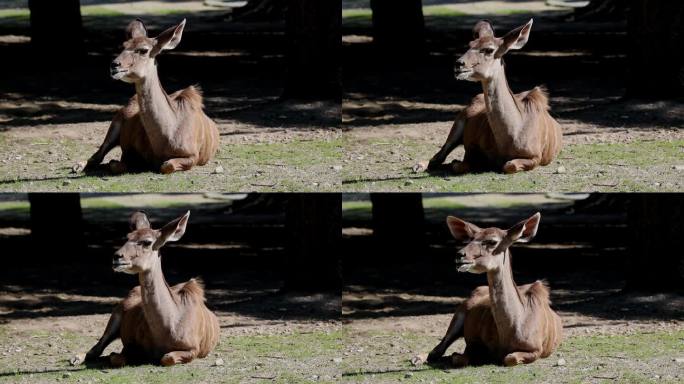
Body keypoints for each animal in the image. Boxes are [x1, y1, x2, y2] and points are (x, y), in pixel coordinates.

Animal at [80, 18, 219, 174]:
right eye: (123, 45)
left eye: (143, 50)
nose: (114, 65)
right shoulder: (129, 152)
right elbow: (115, 164)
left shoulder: (192, 156)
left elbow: (167, 165)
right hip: (114, 125)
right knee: (98, 155)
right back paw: (77, 166)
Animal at [83, 212, 219, 368]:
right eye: (128, 236)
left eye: (147, 242)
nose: (117, 257)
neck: (168, 328)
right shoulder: (131, 344)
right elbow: (117, 358)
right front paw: (113, 355)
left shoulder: (193, 349)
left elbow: (167, 358)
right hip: (115, 316)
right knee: (94, 350)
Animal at [428, 19, 560, 172]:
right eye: (470, 44)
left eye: (489, 50)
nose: (459, 64)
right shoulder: (472, 146)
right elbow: (460, 164)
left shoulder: (535, 156)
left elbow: (509, 165)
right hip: (457, 123)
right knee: (437, 157)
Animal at [428, 213, 560, 366]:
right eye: (471, 239)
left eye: (492, 241)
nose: (460, 255)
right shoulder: (474, 342)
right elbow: (459, 356)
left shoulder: (536, 349)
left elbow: (510, 358)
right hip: (459, 314)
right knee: (436, 350)